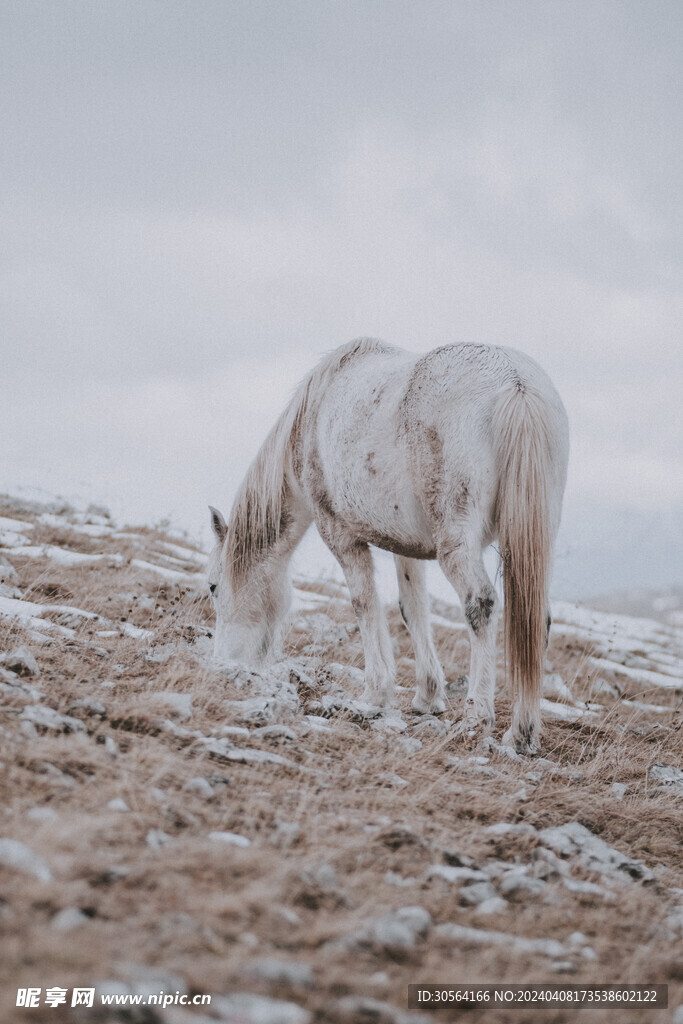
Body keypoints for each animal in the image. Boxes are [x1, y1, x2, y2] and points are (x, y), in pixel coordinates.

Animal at [208, 337, 573, 753]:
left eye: (213, 587)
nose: (221, 664)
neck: (312, 420)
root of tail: (516, 383)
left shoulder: (341, 535)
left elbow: (364, 604)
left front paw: (375, 693)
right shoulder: (407, 546)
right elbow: (412, 609)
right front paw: (427, 696)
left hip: (457, 543)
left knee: (480, 605)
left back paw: (477, 717)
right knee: (537, 619)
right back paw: (522, 731)